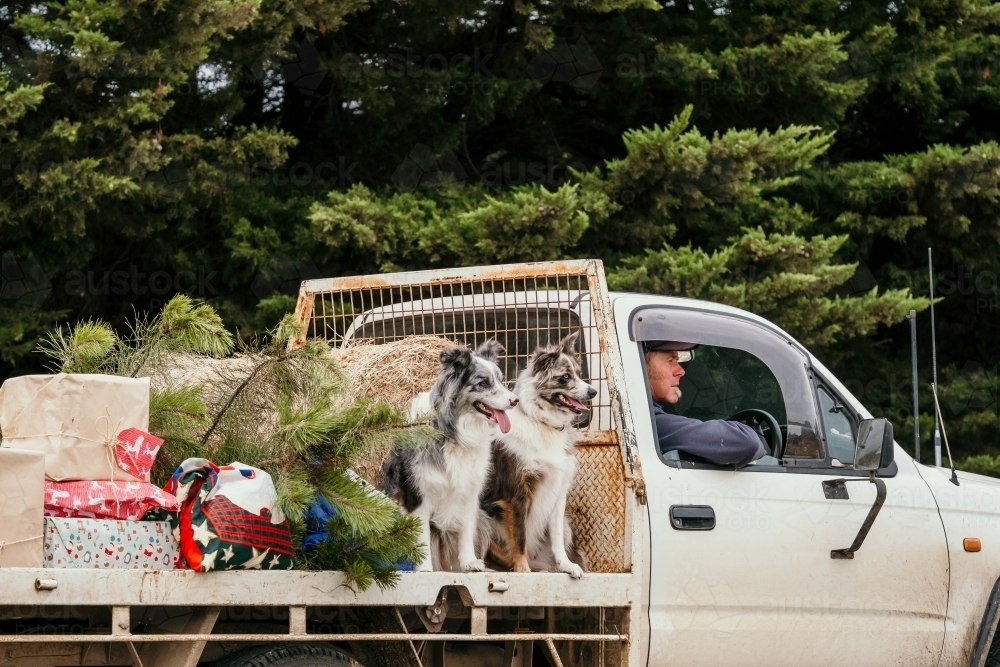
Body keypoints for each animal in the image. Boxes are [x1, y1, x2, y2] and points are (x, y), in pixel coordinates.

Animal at [380, 342, 516, 572]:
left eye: (500, 379)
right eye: (483, 382)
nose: (516, 401)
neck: (454, 434)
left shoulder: (469, 491)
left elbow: (466, 531)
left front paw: (469, 562)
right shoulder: (419, 494)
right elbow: (422, 537)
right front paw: (425, 568)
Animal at [478, 334, 588, 580]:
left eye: (579, 373)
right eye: (565, 378)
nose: (593, 391)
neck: (543, 423)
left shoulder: (558, 493)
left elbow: (556, 539)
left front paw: (567, 565)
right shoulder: (517, 493)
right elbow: (519, 537)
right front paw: (522, 569)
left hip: (566, 525)